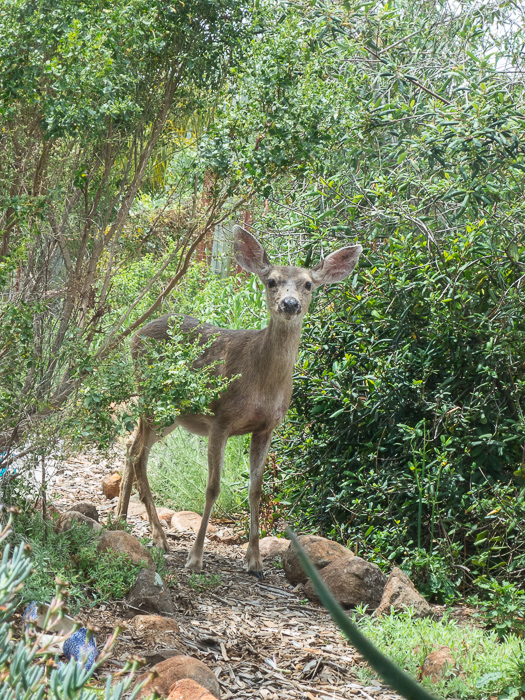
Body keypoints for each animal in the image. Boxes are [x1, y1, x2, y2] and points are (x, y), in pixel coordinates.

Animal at [116, 226, 362, 578]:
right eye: (271, 281)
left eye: (308, 284)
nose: (290, 303)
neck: (261, 380)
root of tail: (136, 334)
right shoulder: (220, 418)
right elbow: (213, 488)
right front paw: (195, 558)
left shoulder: (266, 427)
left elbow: (256, 490)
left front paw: (255, 562)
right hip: (153, 397)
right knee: (138, 454)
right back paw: (159, 538)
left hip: (170, 415)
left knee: (132, 449)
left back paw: (123, 521)